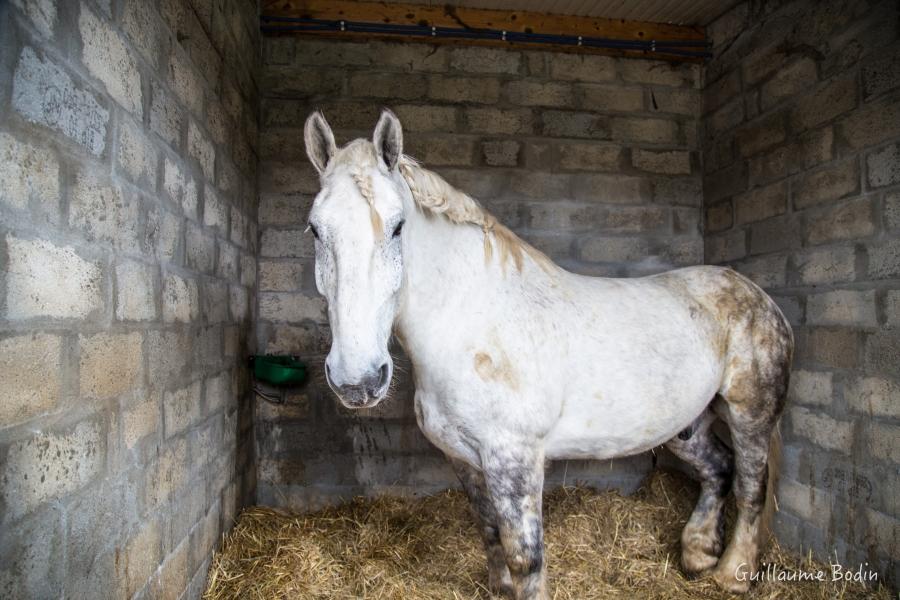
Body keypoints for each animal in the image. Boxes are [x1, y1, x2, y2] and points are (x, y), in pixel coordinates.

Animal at [304, 110, 796, 596]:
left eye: (398, 225)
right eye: (314, 229)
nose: (358, 380)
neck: (474, 323)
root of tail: (758, 295)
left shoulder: (515, 460)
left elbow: (526, 559)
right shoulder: (464, 459)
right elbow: (490, 536)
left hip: (750, 415)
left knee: (751, 487)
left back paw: (732, 574)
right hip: (686, 425)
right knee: (719, 469)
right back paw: (697, 555)